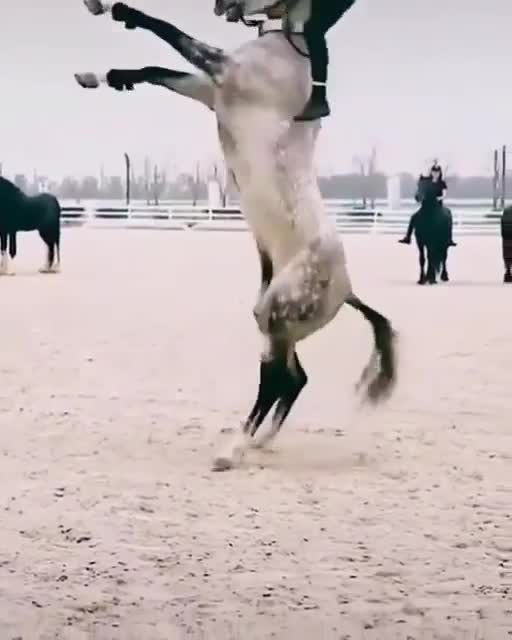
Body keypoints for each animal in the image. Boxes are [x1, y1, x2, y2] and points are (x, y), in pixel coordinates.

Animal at [75, 0, 398, 471]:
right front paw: (106, 76)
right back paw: (259, 442)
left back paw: (233, 450)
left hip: (278, 314)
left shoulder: (224, 70)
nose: (224, 7)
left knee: (278, 379)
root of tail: (347, 289)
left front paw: (122, 13)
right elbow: (159, 68)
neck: (290, 47)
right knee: (294, 378)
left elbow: (172, 34)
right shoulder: (208, 91)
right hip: (272, 319)